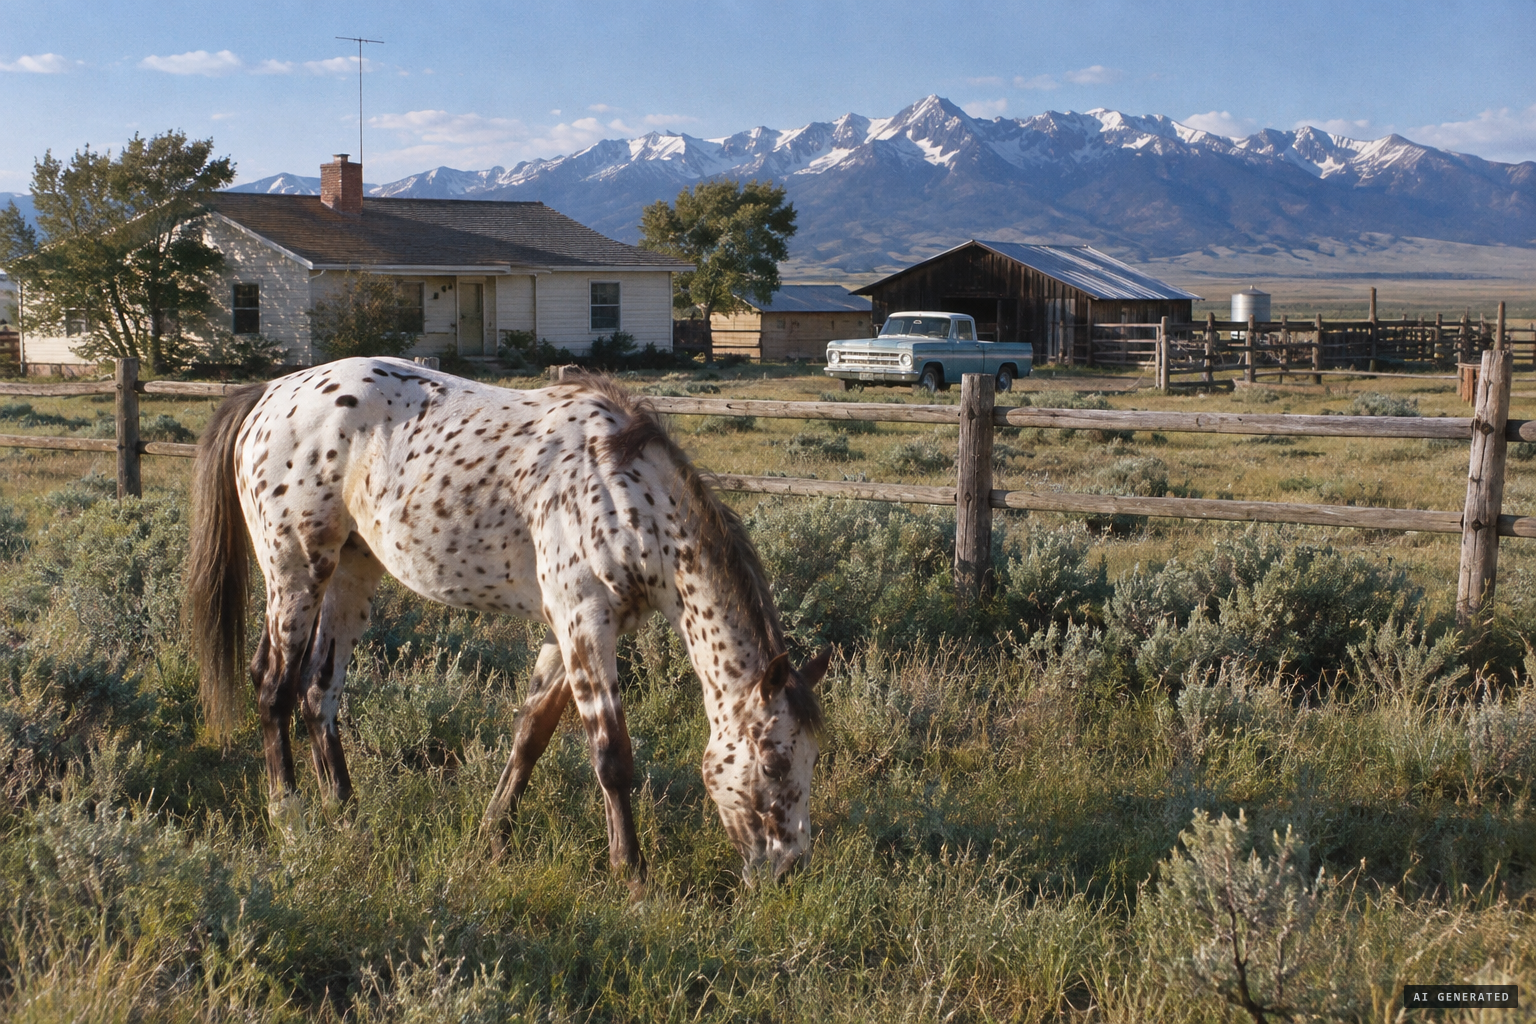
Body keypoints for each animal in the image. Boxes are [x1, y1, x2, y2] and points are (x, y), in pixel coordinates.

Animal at [186, 358, 828, 886]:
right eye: (774, 759)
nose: (789, 867)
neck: (623, 494)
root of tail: (269, 394)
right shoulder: (584, 623)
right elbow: (612, 757)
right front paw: (633, 877)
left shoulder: (567, 632)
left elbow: (531, 736)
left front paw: (492, 835)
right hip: (295, 572)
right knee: (274, 688)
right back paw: (291, 820)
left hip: (351, 573)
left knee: (319, 694)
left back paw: (347, 815)